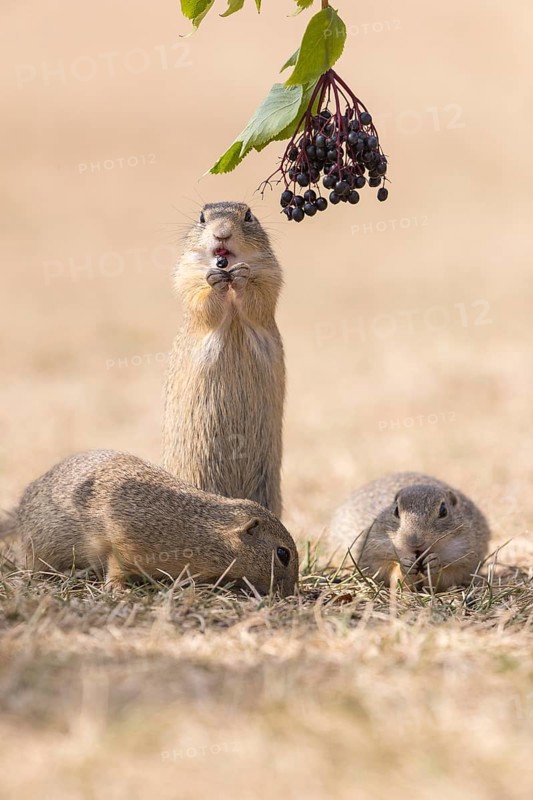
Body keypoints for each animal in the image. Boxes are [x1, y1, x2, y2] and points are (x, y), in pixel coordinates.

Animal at [0, 450, 299, 595]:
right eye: (283, 554)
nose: (288, 593)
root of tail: (20, 512)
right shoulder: (124, 541)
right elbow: (116, 566)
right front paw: (117, 589)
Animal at [162, 202, 285, 517]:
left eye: (248, 215)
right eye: (202, 217)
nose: (222, 233)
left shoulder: (270, 274)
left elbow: (259, 297)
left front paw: (242, 278)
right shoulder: (187, 275)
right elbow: (202, 301)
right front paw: (215, 282)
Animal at [328, 472, 491, 591]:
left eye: (443, 511)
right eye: (395, 510)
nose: (414, 541)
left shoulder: (465, 557)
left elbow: (449, 576)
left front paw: (434, 563)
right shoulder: (374, 551)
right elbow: (389, 573)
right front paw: (405, 565)